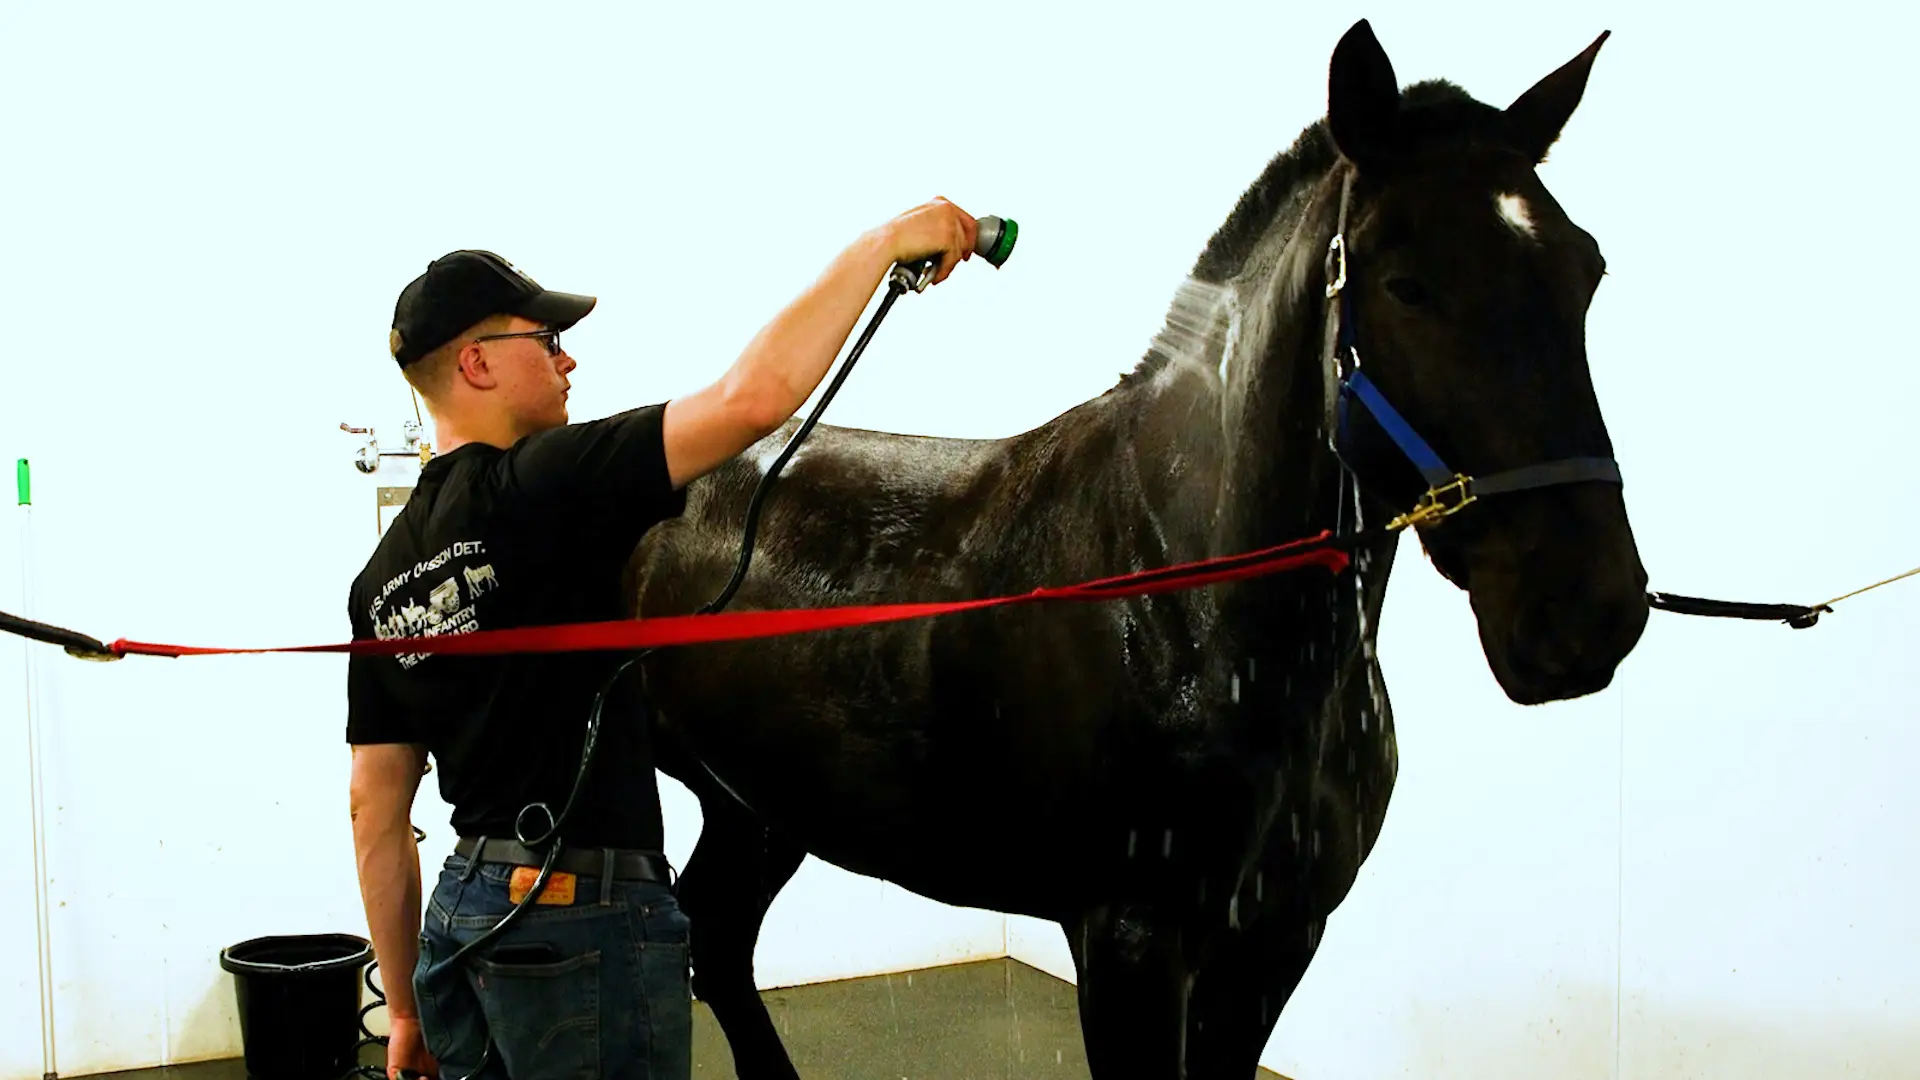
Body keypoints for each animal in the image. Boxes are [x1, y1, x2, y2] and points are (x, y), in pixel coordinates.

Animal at [625, 19, 1647, 1078]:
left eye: (1589, 269)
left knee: (719, 939)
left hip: (757, 805)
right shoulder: (1130, 944)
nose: (1586, 610)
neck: (1191, 597)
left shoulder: (1278, 940)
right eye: (1406, 285)